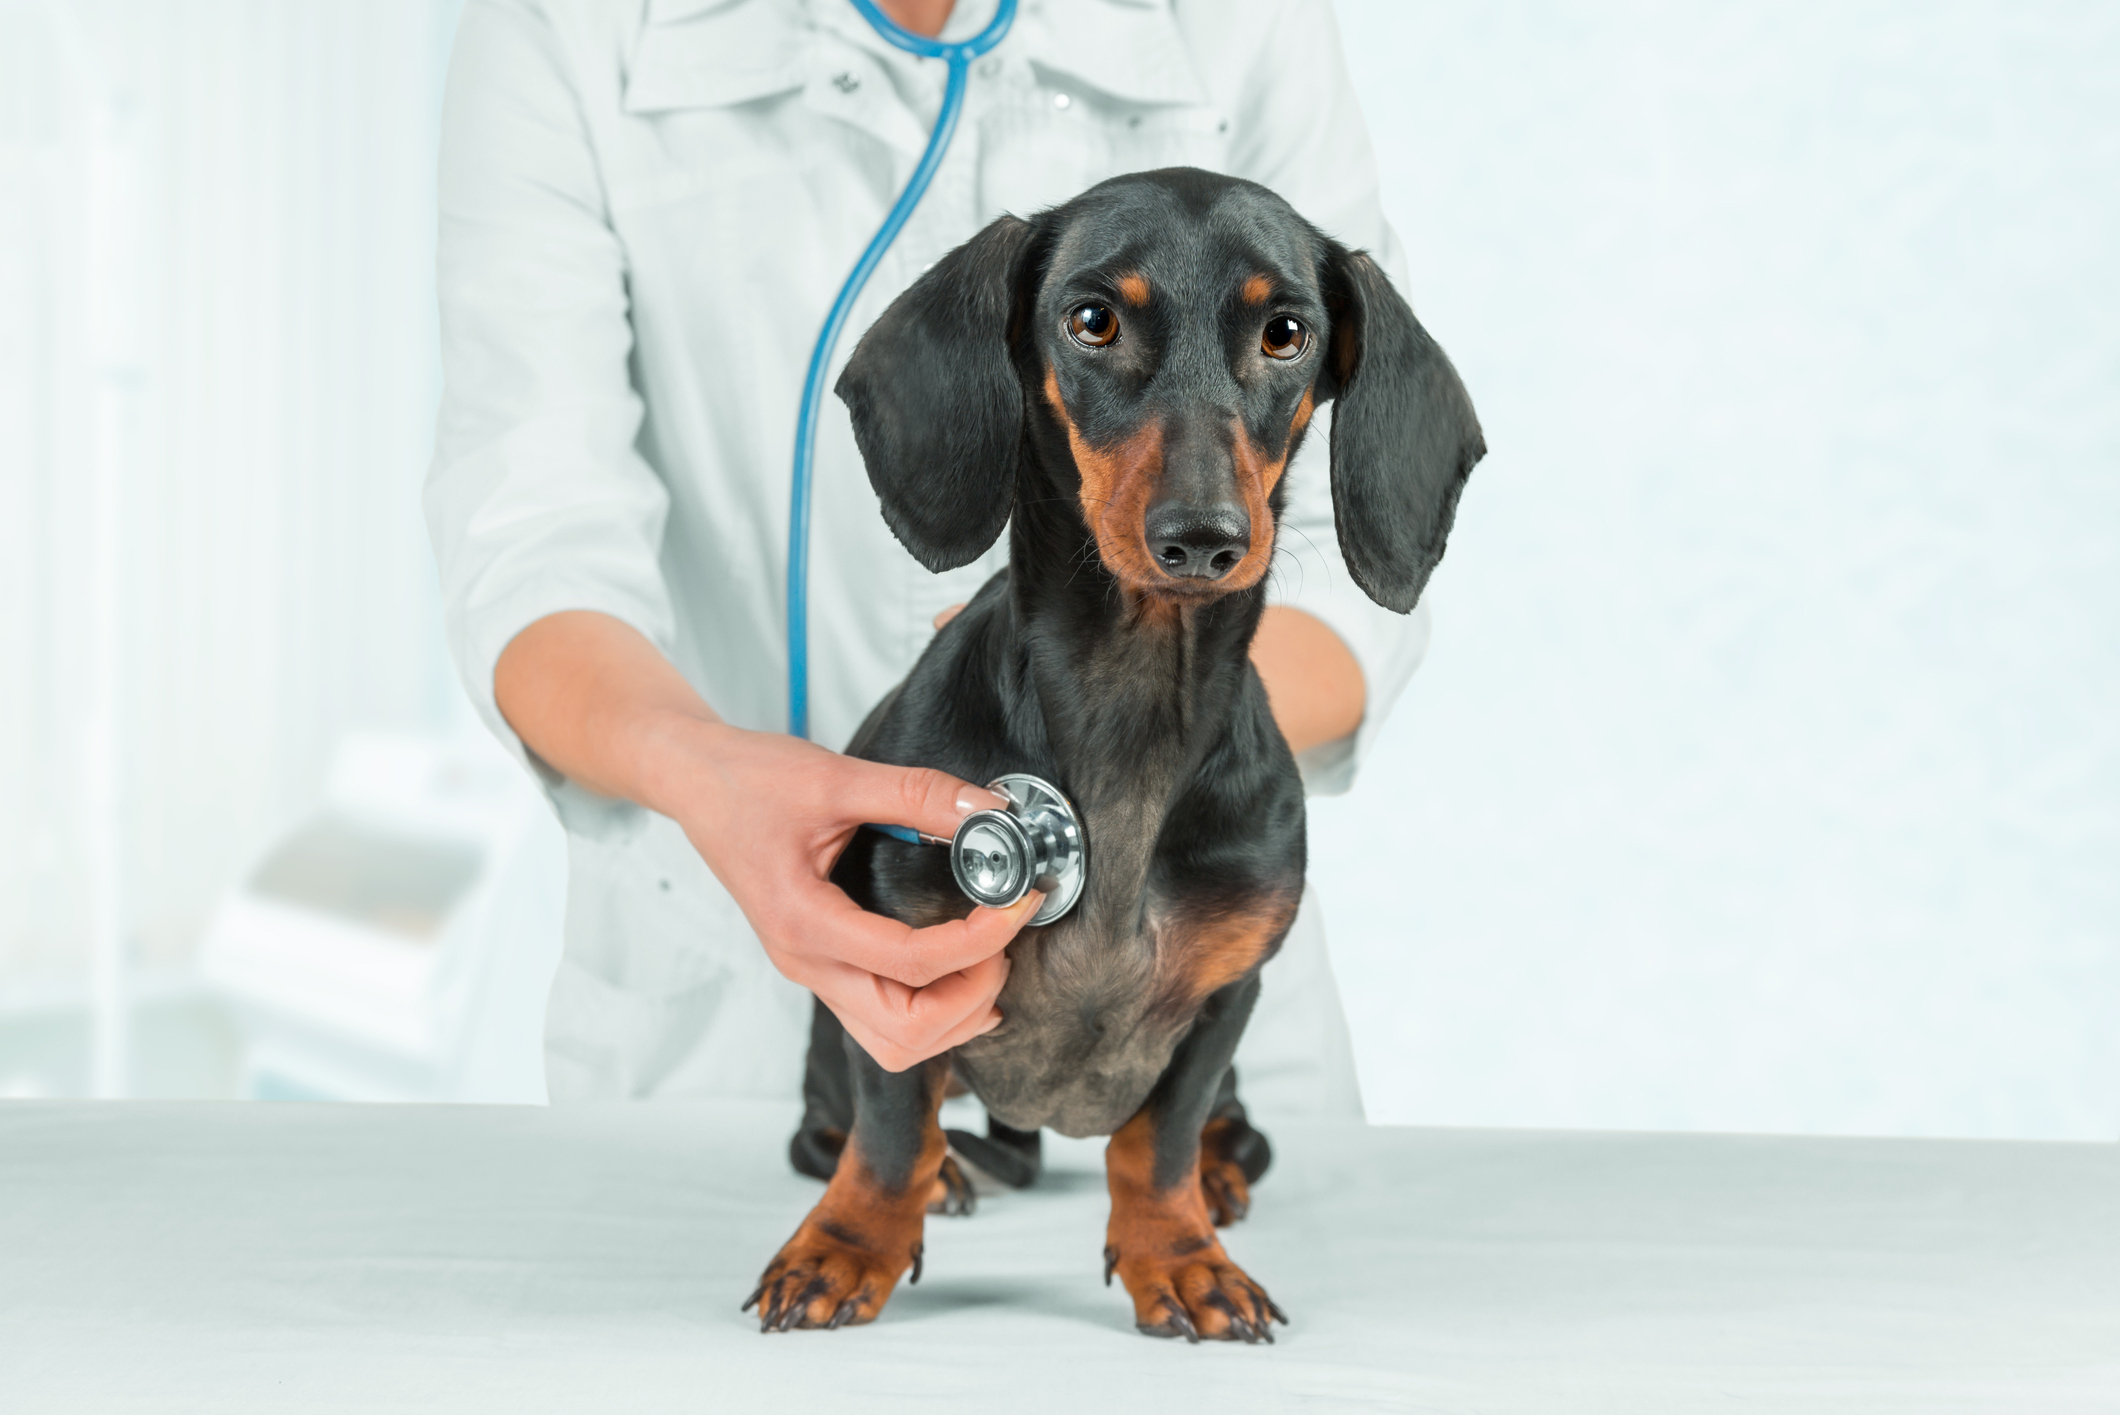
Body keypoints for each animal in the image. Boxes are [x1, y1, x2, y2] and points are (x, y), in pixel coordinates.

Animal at [750, 166, 1492, 1340]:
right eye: (1090, 320)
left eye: (1286, 332)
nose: (1204, 537)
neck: (1131, 710)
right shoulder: (885, 966)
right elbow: (890, 1122)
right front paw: (848, 1241)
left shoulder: (1224, 999)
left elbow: (1159, 1140)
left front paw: (1180, 1257)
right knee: (843, 1122)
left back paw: (1222, 1175)